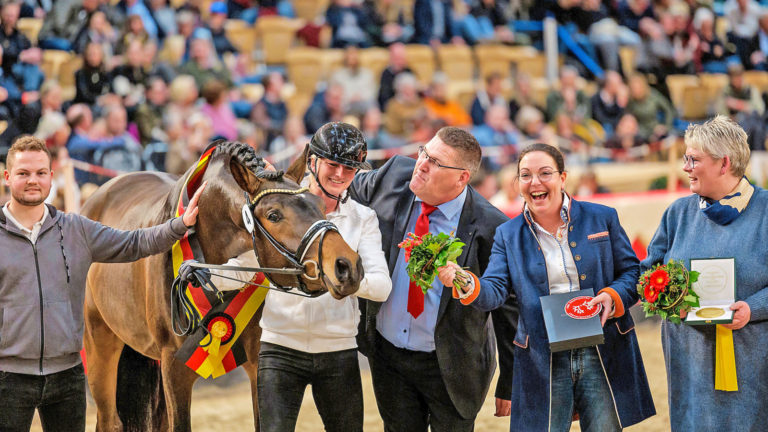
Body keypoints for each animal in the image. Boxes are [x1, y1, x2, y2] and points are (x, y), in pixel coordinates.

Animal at [81, 140, 364, 430]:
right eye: (273, 215)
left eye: (320, 205)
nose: (347, 266)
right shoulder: (173, 367)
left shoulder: (257, 361)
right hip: (99, 346)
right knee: (109, 419)